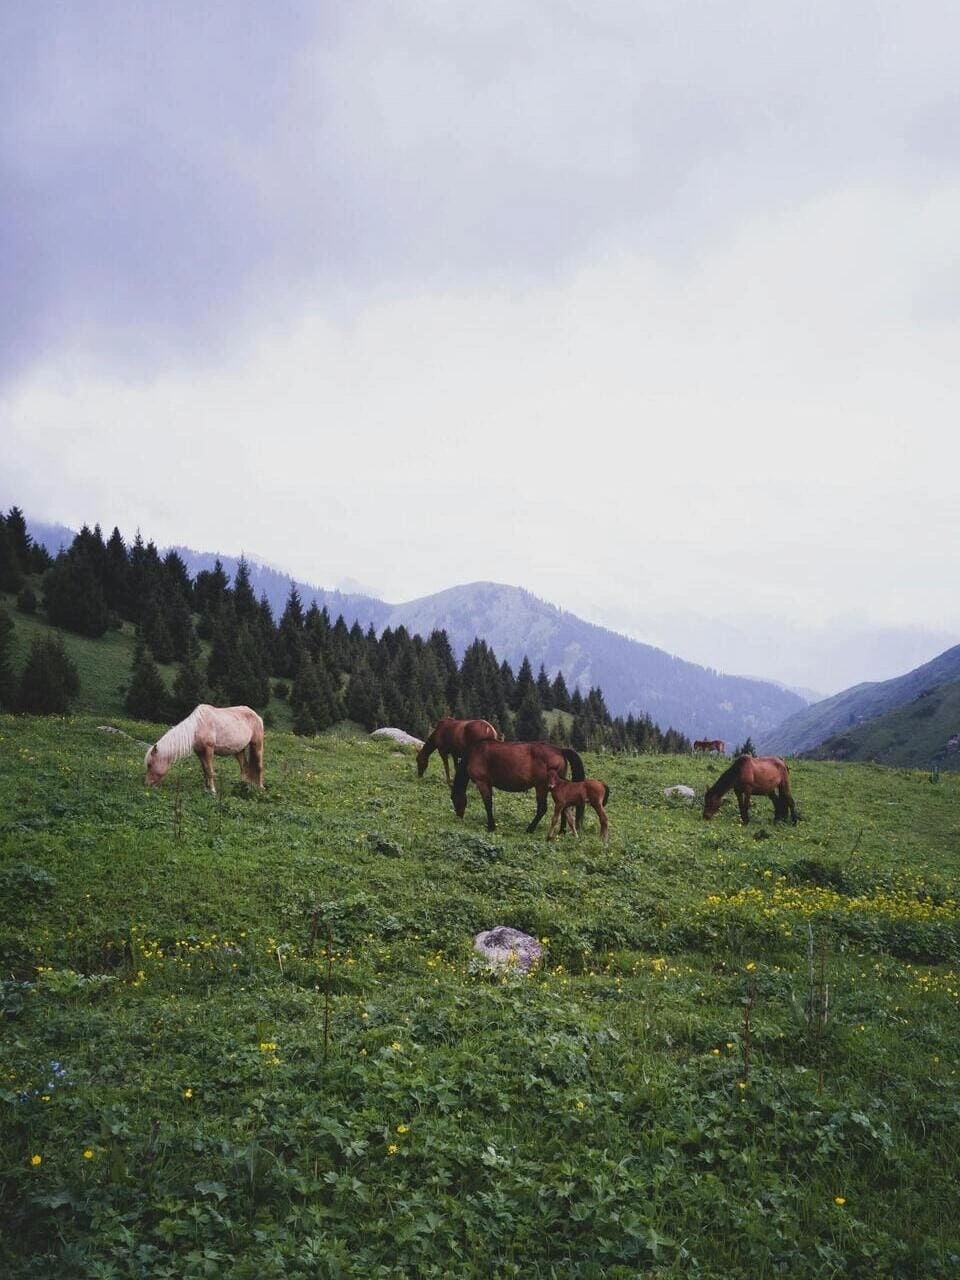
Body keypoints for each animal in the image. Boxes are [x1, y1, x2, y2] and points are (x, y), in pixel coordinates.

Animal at [452, 740, 585, 833]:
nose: (459, 818)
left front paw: (491, 827)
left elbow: (488, 804)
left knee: (542, 808)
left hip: (541, 787)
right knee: (563, 807)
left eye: (454, 800)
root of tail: (560, 750)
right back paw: (562, 831)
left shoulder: (482, 782)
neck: (475, 753)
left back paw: (530, 829)